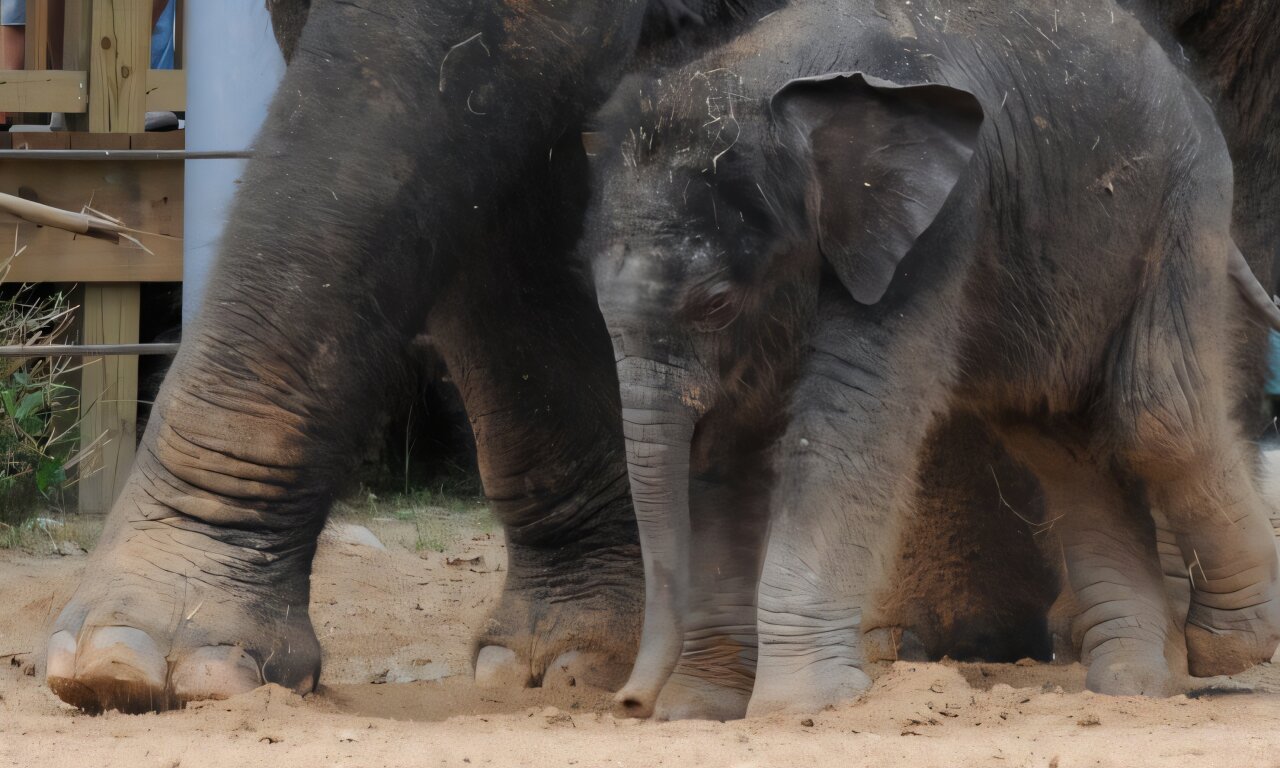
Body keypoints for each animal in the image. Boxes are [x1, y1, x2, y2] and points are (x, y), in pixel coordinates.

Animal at [585, 0, 1280, 719]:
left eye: (716, 303)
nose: (629, 704)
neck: (759, 76)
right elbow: (727, 450)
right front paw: (698, 710)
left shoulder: (936, 224)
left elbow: (847, 421)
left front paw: (802, 707)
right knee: (1064, 441)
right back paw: (1135, 684)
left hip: (1183, 202)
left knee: (1158, 416)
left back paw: (1227, 648)